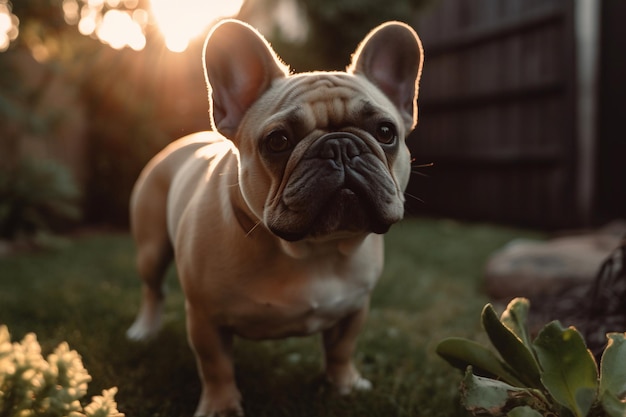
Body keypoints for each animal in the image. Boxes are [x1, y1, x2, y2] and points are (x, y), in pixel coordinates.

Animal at [125, 17, 422, 414]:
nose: (339, 146)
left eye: (386, 131)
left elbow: (342, 350)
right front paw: (221, 406)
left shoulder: (355, 308)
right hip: (151, 249)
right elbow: (215, 365)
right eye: (278, 141)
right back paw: (144, 330)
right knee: (152, 289)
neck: (313, 250)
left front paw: (345, 385)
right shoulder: (204, 318)